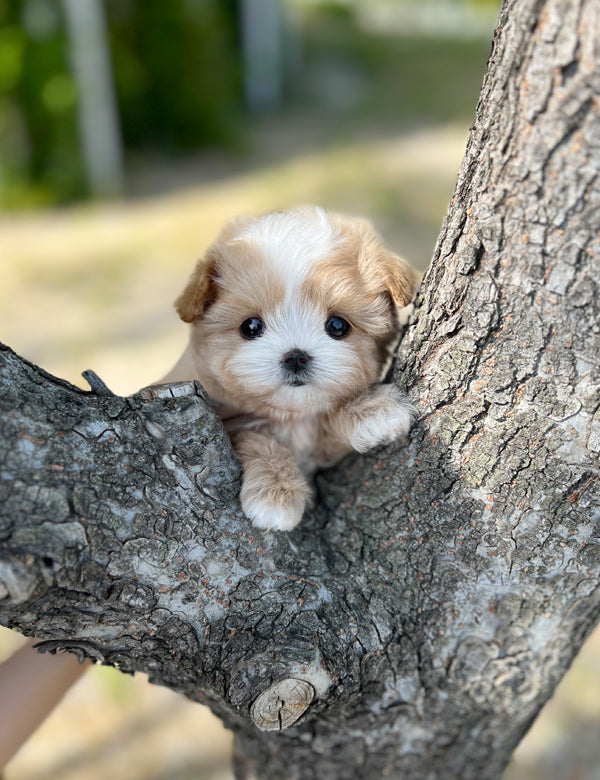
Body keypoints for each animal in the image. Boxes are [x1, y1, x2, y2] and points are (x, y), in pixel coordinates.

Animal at [159, 206, 418, 532]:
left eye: (337, 325)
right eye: (251, 327)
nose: (295, 357)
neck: (292, 416)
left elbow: (326, 415)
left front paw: (372, 412)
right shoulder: (229, 420)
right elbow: (256, 439)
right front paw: (275, 493)